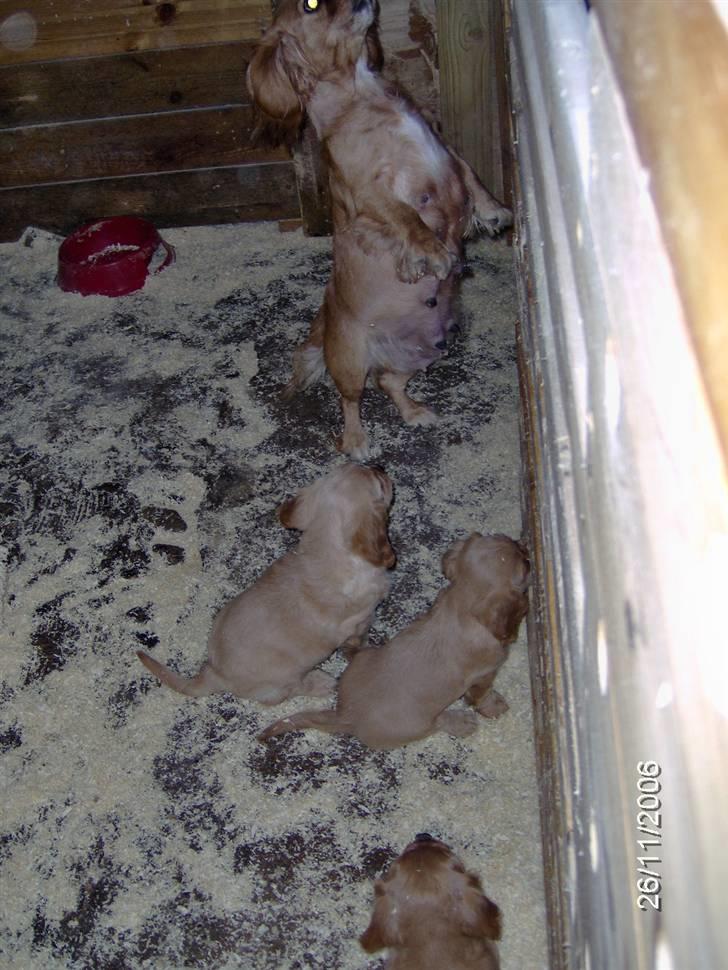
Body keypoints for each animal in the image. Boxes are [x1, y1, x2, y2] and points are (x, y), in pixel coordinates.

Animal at [139, 462, 396, 704]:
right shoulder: (359, 621)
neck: (325, 549)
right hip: (284, 679)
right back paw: (320, 682)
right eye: (379, 482)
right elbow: (357, 643)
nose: (380, 466)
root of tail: (214, 674)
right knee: (289, 691)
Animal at [247, 0, 516, 458]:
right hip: (351, 359)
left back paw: (415, 412)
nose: (361, 2)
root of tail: (323, 328)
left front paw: (492, 210)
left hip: (427, 351)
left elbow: (468, 174)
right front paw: (434, 253)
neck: (365, 93)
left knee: (388, 381)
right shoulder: (372, 191)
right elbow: (404, 217)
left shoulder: (443, 147)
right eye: (311, 5)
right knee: (351, 398)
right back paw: (358, 443)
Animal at [260, 532, 528, 744]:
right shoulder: (485, 674)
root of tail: (346, 715)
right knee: (437, 723)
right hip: (417, 723)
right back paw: (461, 722)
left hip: (363, 660)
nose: (525, 548)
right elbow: (481, 696)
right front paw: (495, 706)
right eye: (523, 565)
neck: (461, 605)